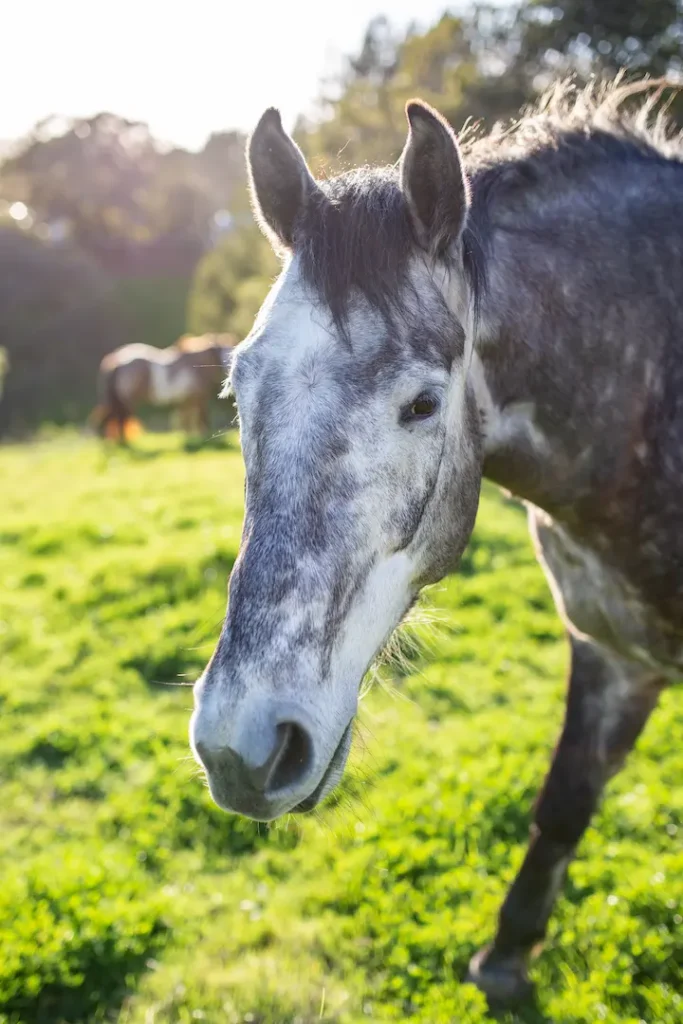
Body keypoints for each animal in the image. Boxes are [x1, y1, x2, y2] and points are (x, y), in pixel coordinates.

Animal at [91, 333, 235, 440]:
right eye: (227, 355)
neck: (194, 364)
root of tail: (116, 359)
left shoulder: (186, 402)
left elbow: (186, 422)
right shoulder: (199, 399)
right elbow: (202, 419)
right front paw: (202, 436)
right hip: (127, 401)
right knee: (120, 419)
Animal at [190, 80, 683, 1002]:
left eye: (421, 404)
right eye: (238, 390)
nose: (241, 746)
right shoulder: (609, 652)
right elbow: (563, 803)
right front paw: (507, 958)